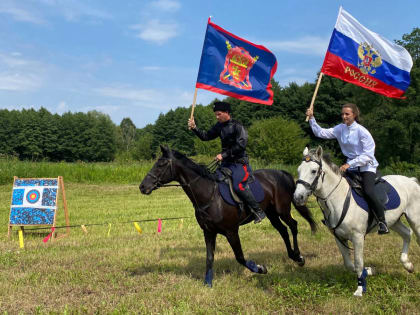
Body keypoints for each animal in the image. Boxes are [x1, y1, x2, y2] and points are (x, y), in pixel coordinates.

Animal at [139, 147, 316, 288]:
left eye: (161, 165)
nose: (142, 187)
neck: (210, 194)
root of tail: (282, 173)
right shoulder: (209, 232)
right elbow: (209, 258)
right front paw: (208, 283)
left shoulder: (231, 232)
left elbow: (240, 257)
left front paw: (260, 269)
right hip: (272, 214)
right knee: (283, 230)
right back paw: (293, 256)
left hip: (282, 210)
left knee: (293, 225)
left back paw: (299, 257)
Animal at [292, 147, 420, 298]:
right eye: (299, 170)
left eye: (313, 171)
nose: (298, 197)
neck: (338, 198)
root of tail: (411, 181)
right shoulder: (339, 238)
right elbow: (349, 264)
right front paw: (369, 271)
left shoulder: (358, 237)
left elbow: (358, 263)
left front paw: (359, 289)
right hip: (394, 222)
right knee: (407, 234)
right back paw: (408, 265)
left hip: (414, 219)